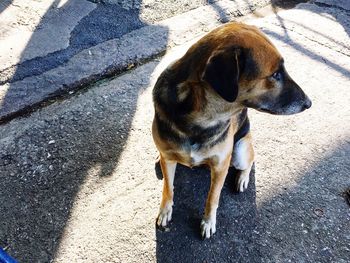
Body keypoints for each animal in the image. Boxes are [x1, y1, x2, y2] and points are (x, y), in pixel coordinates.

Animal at [152, 22, 310, 239]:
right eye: (275, 74)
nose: (309, 103)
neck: (199, 119)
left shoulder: (220, 166)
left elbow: (212, 197)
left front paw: (208, 222)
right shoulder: (168, 158)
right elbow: (168, 188)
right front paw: (165, 210)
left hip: (240, 152)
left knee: (251, 160)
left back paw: (242, 178)